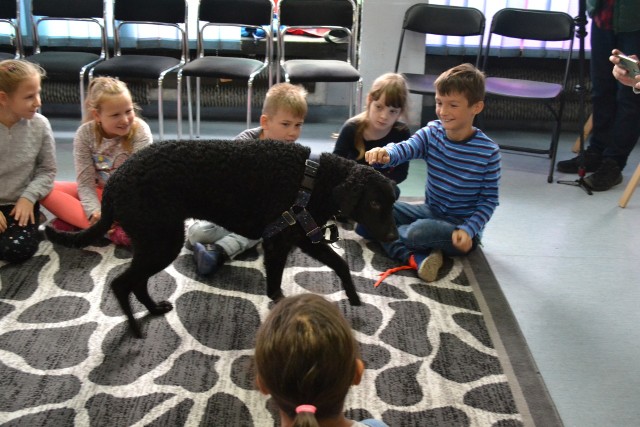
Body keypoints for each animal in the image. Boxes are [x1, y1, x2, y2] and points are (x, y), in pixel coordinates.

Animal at [46, 140, 396, 338]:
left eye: (392, 201)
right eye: (375, 203)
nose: (393, 235)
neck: (315, 178)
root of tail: (115, 182)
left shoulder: (303, 237)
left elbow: (340, 264)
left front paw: (354, 297)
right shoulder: (278, 243)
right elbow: (276, 287)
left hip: (156, 241)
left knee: (136, 282)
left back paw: (155, 310)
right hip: (162, 240)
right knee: (122, 283)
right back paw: (134, 329)